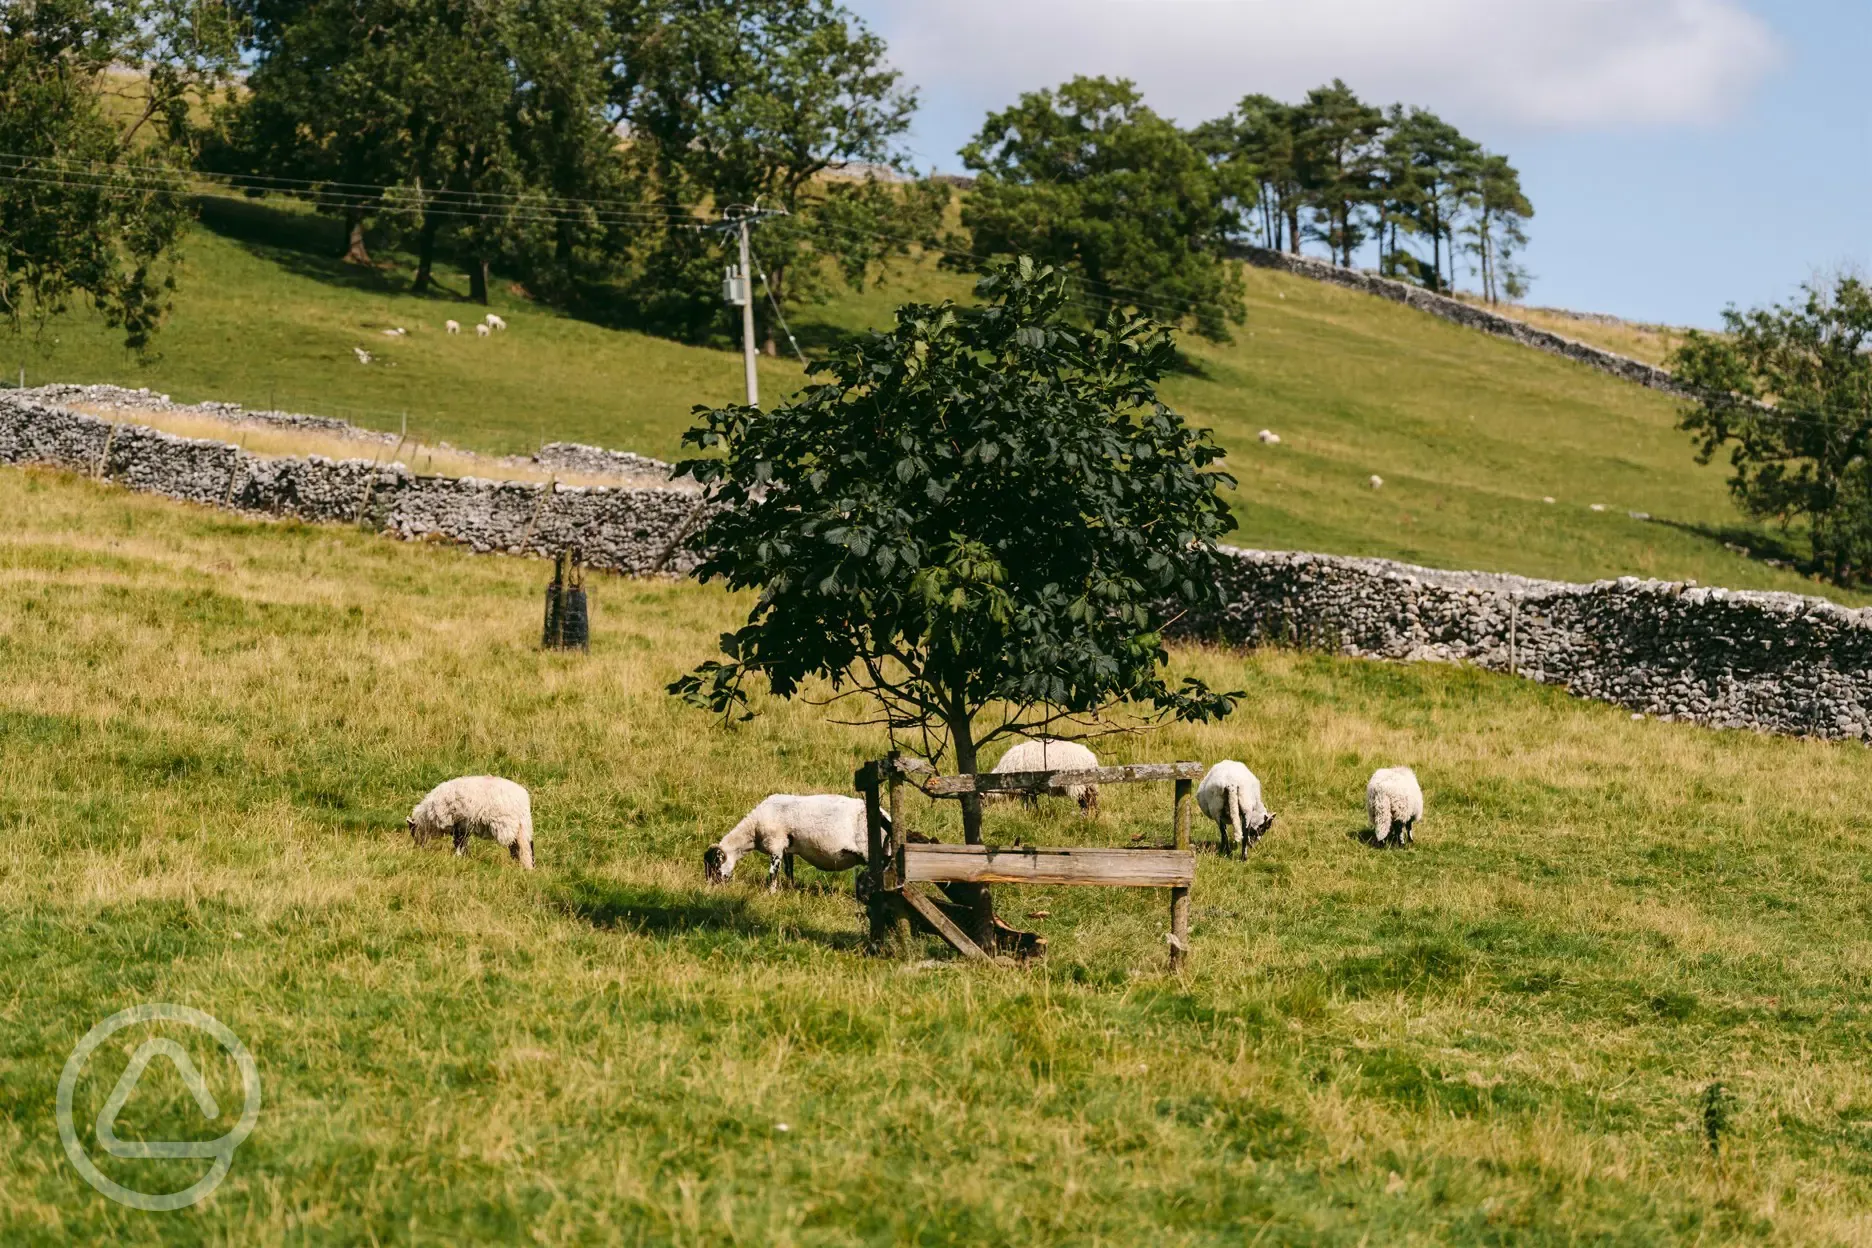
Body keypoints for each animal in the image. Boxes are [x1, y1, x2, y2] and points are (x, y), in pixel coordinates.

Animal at [404, 782, 535, 868]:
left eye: (412, 831)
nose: (418, 847)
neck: (427, 818)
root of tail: (523, 800)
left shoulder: (458, 823)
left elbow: (459, 841)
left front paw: (458, 856)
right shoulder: (464, 825)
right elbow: (463, 841)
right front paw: (463, 856)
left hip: (508, 825)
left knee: (517, 846)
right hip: (523, 826)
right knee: (526, 846)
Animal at [703, 797, 883, 894]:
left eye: (715, 866)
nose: (710, 887)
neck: (752, 830)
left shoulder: (776, 845)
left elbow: (773, 873)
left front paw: (771, 893)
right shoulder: (787, 849)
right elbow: (789, 871)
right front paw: (791, 889)